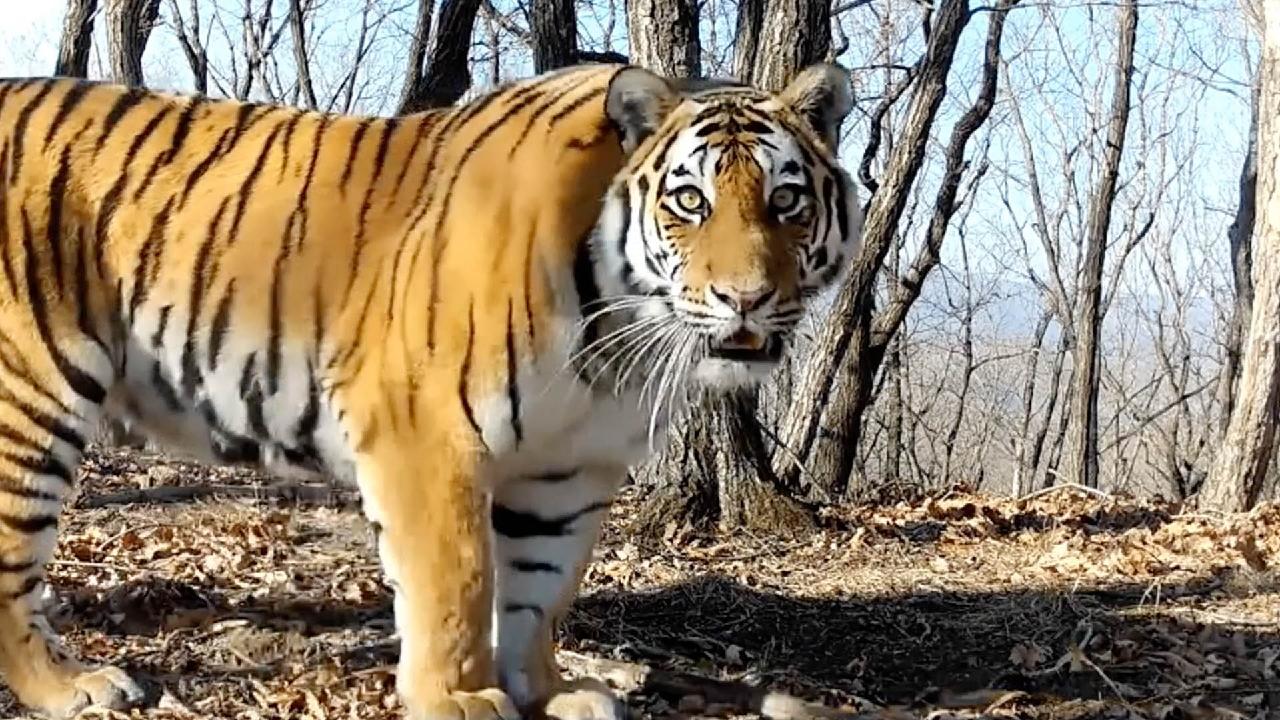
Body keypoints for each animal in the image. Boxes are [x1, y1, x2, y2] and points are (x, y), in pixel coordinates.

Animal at [0, 60, 865, 712]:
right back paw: (70, 686)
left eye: (786, 199)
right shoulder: (424, 431)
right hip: (33, 399)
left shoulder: (569, 467)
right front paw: (457, 698)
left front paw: (546, 689)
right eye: (691, 200)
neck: (615, 335)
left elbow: (539, 586)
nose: (745, 298)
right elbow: (459, 578)